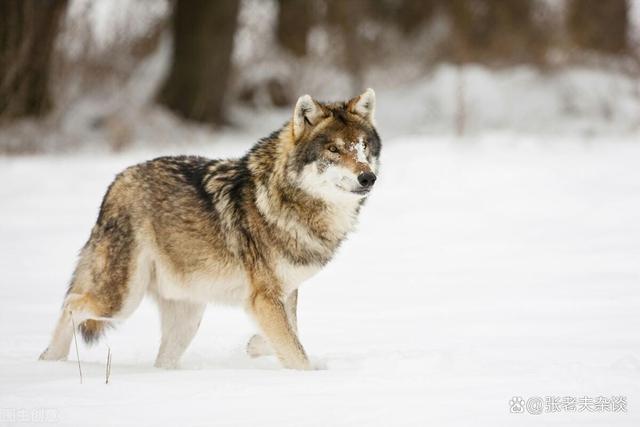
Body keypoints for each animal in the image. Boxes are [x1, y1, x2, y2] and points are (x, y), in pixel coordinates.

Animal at [40, 88, 380, 370]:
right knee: (71, 304)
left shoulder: (282, 294)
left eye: (363, 147)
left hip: (186, 320)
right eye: (334, 150)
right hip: (121, 301)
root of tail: (117, 181)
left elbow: (289, 333)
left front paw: (255, 345)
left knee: (161, 361)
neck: (287, 200)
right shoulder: (264, 298)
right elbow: (296, 353)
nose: (368, 177)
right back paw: (49, 360)